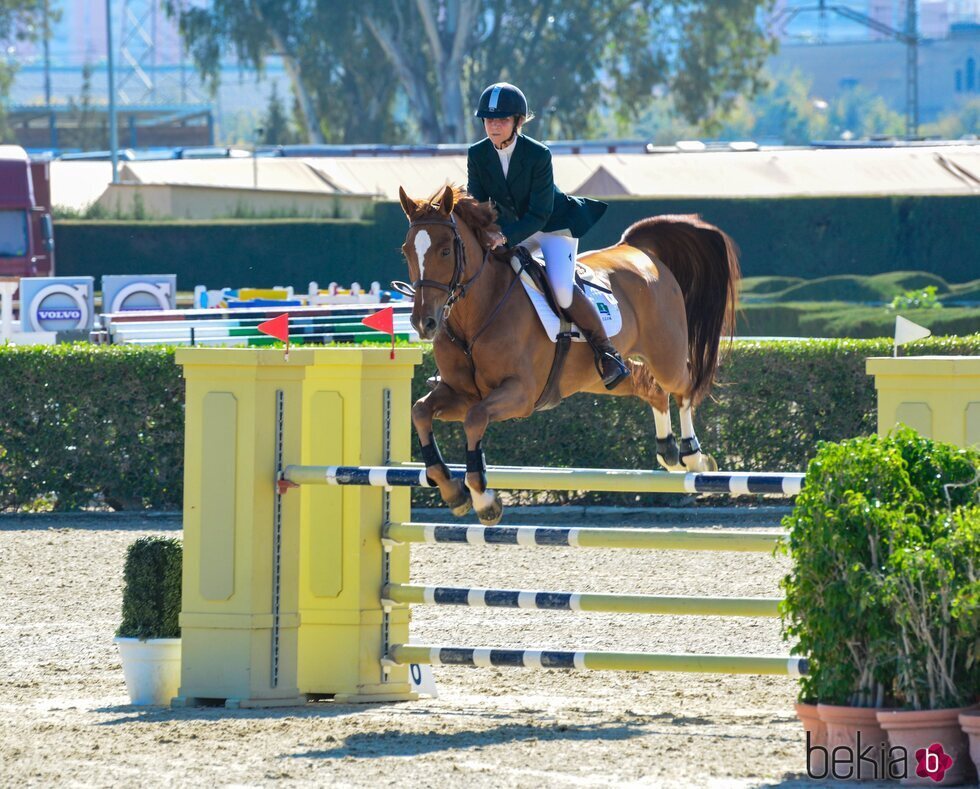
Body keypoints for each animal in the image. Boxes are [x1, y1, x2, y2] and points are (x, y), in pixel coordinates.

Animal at [394, 185, 740, 528]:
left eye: (445, 251)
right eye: (406, 251)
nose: (424, 323)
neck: (475, 316)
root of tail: (637, 249)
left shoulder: (519, 394)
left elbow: (475, 418)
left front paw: (483, 499)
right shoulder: (461, 393)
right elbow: (420, 411)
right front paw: (453, 490)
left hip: (665, 356)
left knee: (684, 387)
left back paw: (694, 457)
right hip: (601, 379)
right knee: (650, 388)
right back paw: (667, 451)